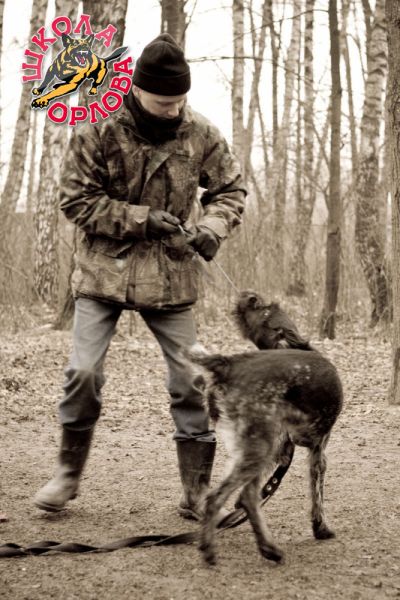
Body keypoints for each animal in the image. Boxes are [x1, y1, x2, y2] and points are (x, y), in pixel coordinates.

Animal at [188, 290, 343, 565]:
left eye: (265, 310)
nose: (249, 296)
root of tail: (228, 363)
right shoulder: (318, 449)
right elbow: (318, 495)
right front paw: (321, 528)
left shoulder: (284, 448)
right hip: (260, 448)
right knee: (229, 497)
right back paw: (240, 549)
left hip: (254, 449)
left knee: (238, 497)